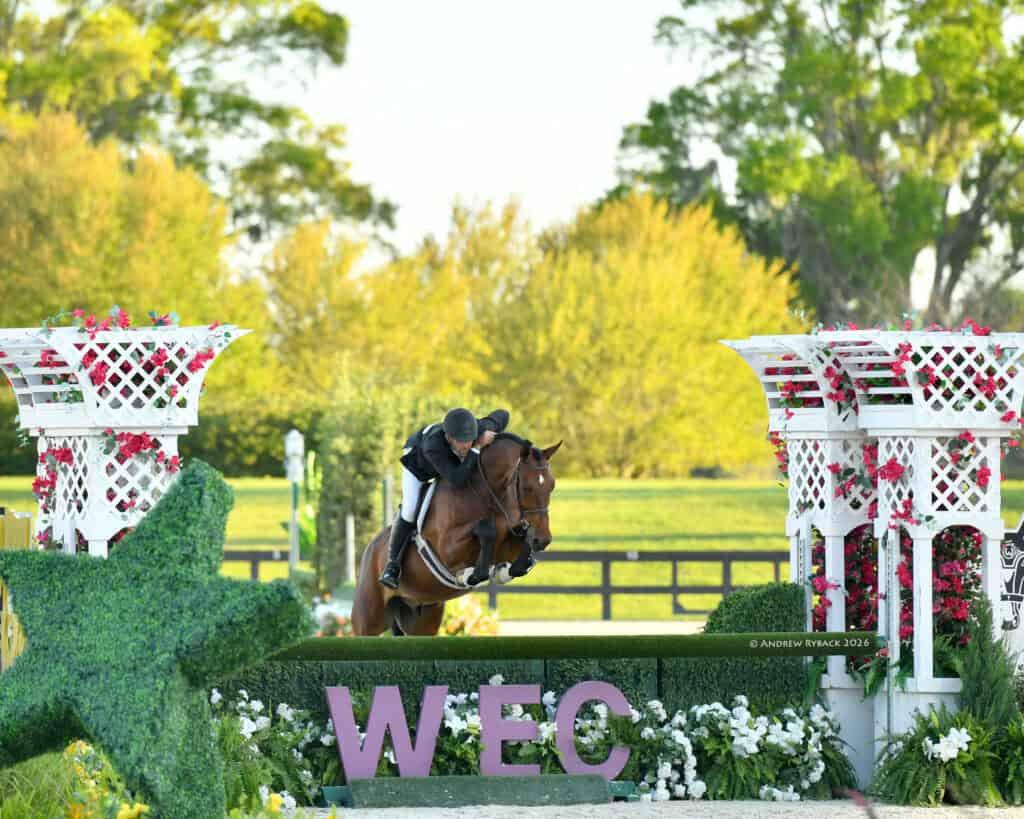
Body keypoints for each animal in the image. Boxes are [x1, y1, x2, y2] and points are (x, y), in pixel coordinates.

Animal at [351, 433, 561, 636]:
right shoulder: (448, 549)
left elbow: (517, 562)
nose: (542, 540)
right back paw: (390, 574)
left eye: (552, 486)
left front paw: (502, 570)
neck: (486, 496)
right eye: (527, 487)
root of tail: (370, 549)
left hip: (423, 620)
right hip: (368, 620)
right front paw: (469, 575)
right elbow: (486, 529)